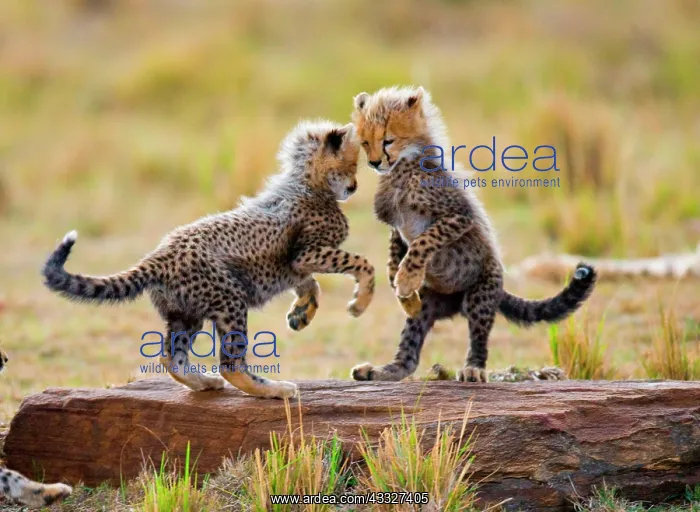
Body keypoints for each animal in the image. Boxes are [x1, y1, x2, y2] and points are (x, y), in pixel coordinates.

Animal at [42, 119, 375, 399]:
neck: (307, 182)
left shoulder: (293, 266)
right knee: (230, 364)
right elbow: (362, 263)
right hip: (229, 300)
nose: (354, 187)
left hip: (185, 312)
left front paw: (301, 314)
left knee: (170, 355)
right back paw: (273, 389)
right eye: (353, 163)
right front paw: (360, 303)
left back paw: (203, 382)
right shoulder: (307, 253)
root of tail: (159, 254)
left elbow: (311, 284)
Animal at [349, 86, 597, 383]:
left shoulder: (458, 216)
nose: (375, 162)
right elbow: (395, 249)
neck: (403, 166)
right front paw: (398, 282)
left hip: (481, 292)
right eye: (365, 142)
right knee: (409, 354)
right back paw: (381, 370)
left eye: (388, 140)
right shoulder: (397, 226)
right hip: (428, 305)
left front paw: (406, 280)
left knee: (479, 337)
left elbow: (423, 241)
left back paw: (473, 369)